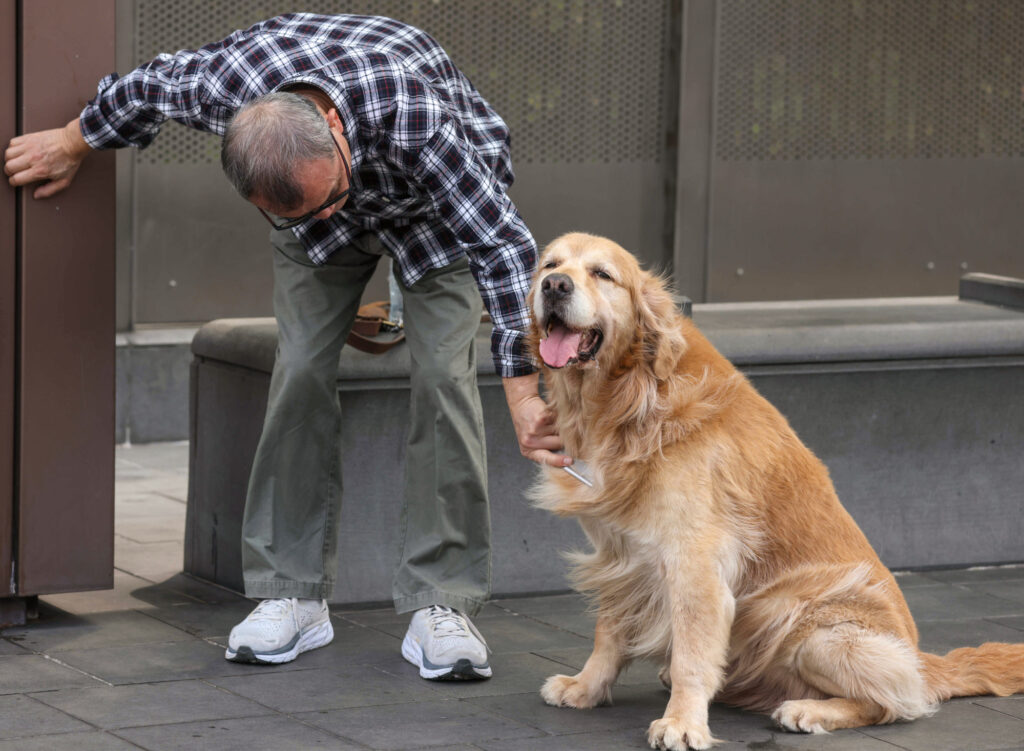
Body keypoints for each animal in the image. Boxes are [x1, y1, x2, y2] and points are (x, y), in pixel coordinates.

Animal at [528, 232, 1024, 749]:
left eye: (602, 274)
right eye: (550, 265)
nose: (556, 287)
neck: (633, 394)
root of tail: (926, 661)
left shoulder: (695, 561)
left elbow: (691, 656)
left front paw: (683, 722)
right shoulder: (619, 554)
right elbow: (609, 631)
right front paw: (586, 687)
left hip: (807, 624)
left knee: (896, 703)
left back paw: (809, 710)